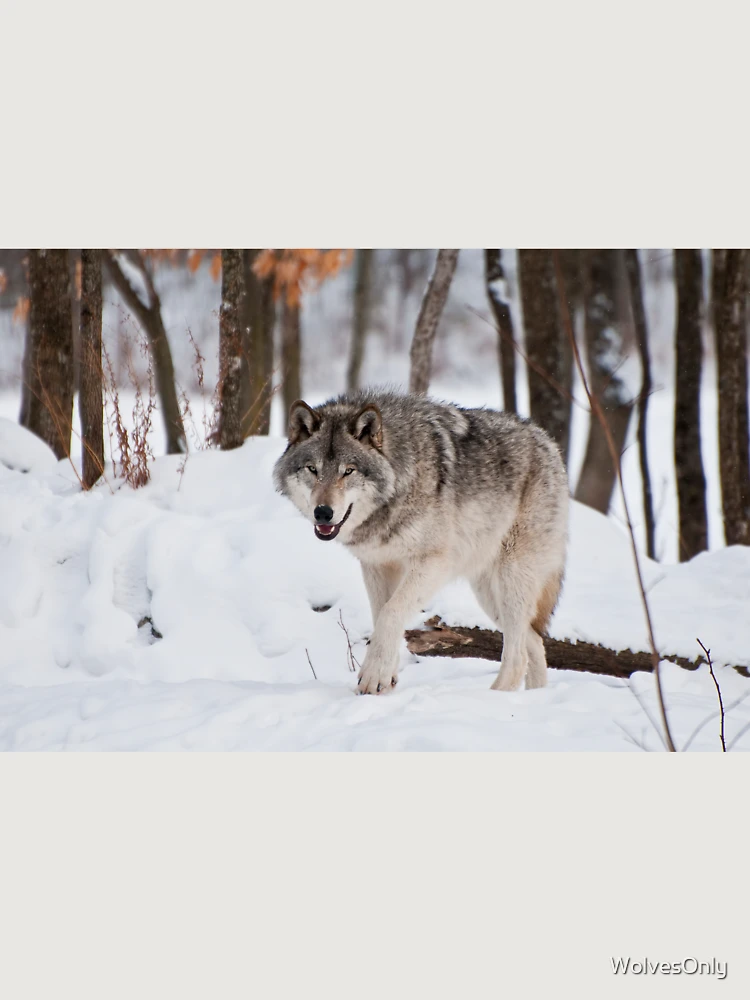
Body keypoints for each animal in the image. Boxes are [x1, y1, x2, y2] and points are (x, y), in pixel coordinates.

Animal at [273, 390, 569, 695]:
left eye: (348, 471)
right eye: (312, 469)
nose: (323, 512)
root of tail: (548, 442)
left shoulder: (433, 564)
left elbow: (390, 613)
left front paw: (374, 676)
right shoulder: (377, 566)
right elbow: (381, 618)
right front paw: (385, 679)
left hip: (510, 580)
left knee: (519, 654)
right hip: (489, 594)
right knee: (534, 641)